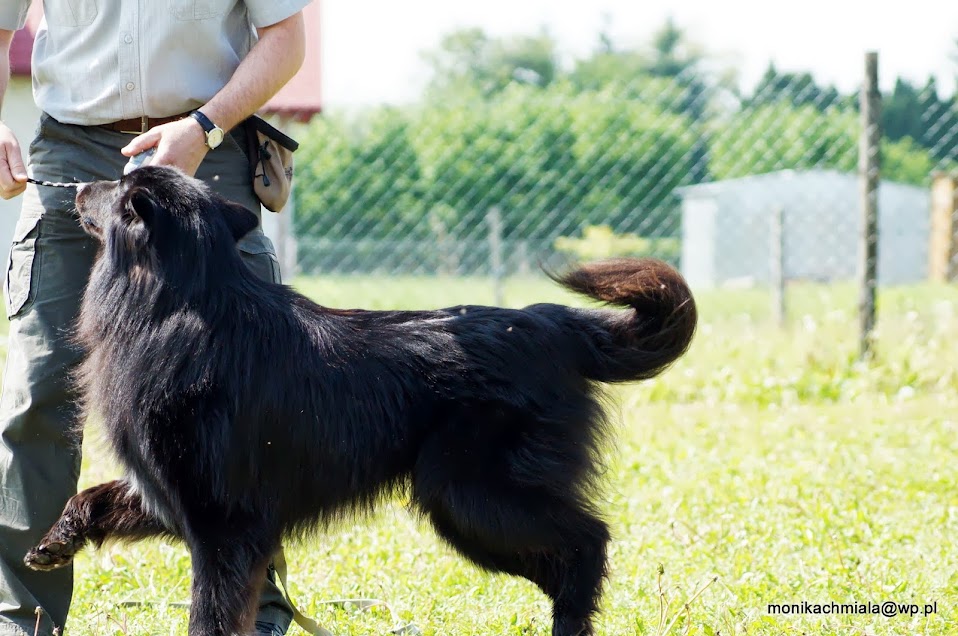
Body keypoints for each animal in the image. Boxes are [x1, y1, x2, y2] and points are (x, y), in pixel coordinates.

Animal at [24, 166, 696, 636]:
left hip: (469, 498)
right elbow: (91, 497)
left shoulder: (222, 527)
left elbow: (209, 617)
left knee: (588, 542)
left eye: (118, 185)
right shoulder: (170, 495)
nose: (76, 185)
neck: (180, 302)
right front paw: (54, 542)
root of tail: (554, 325)